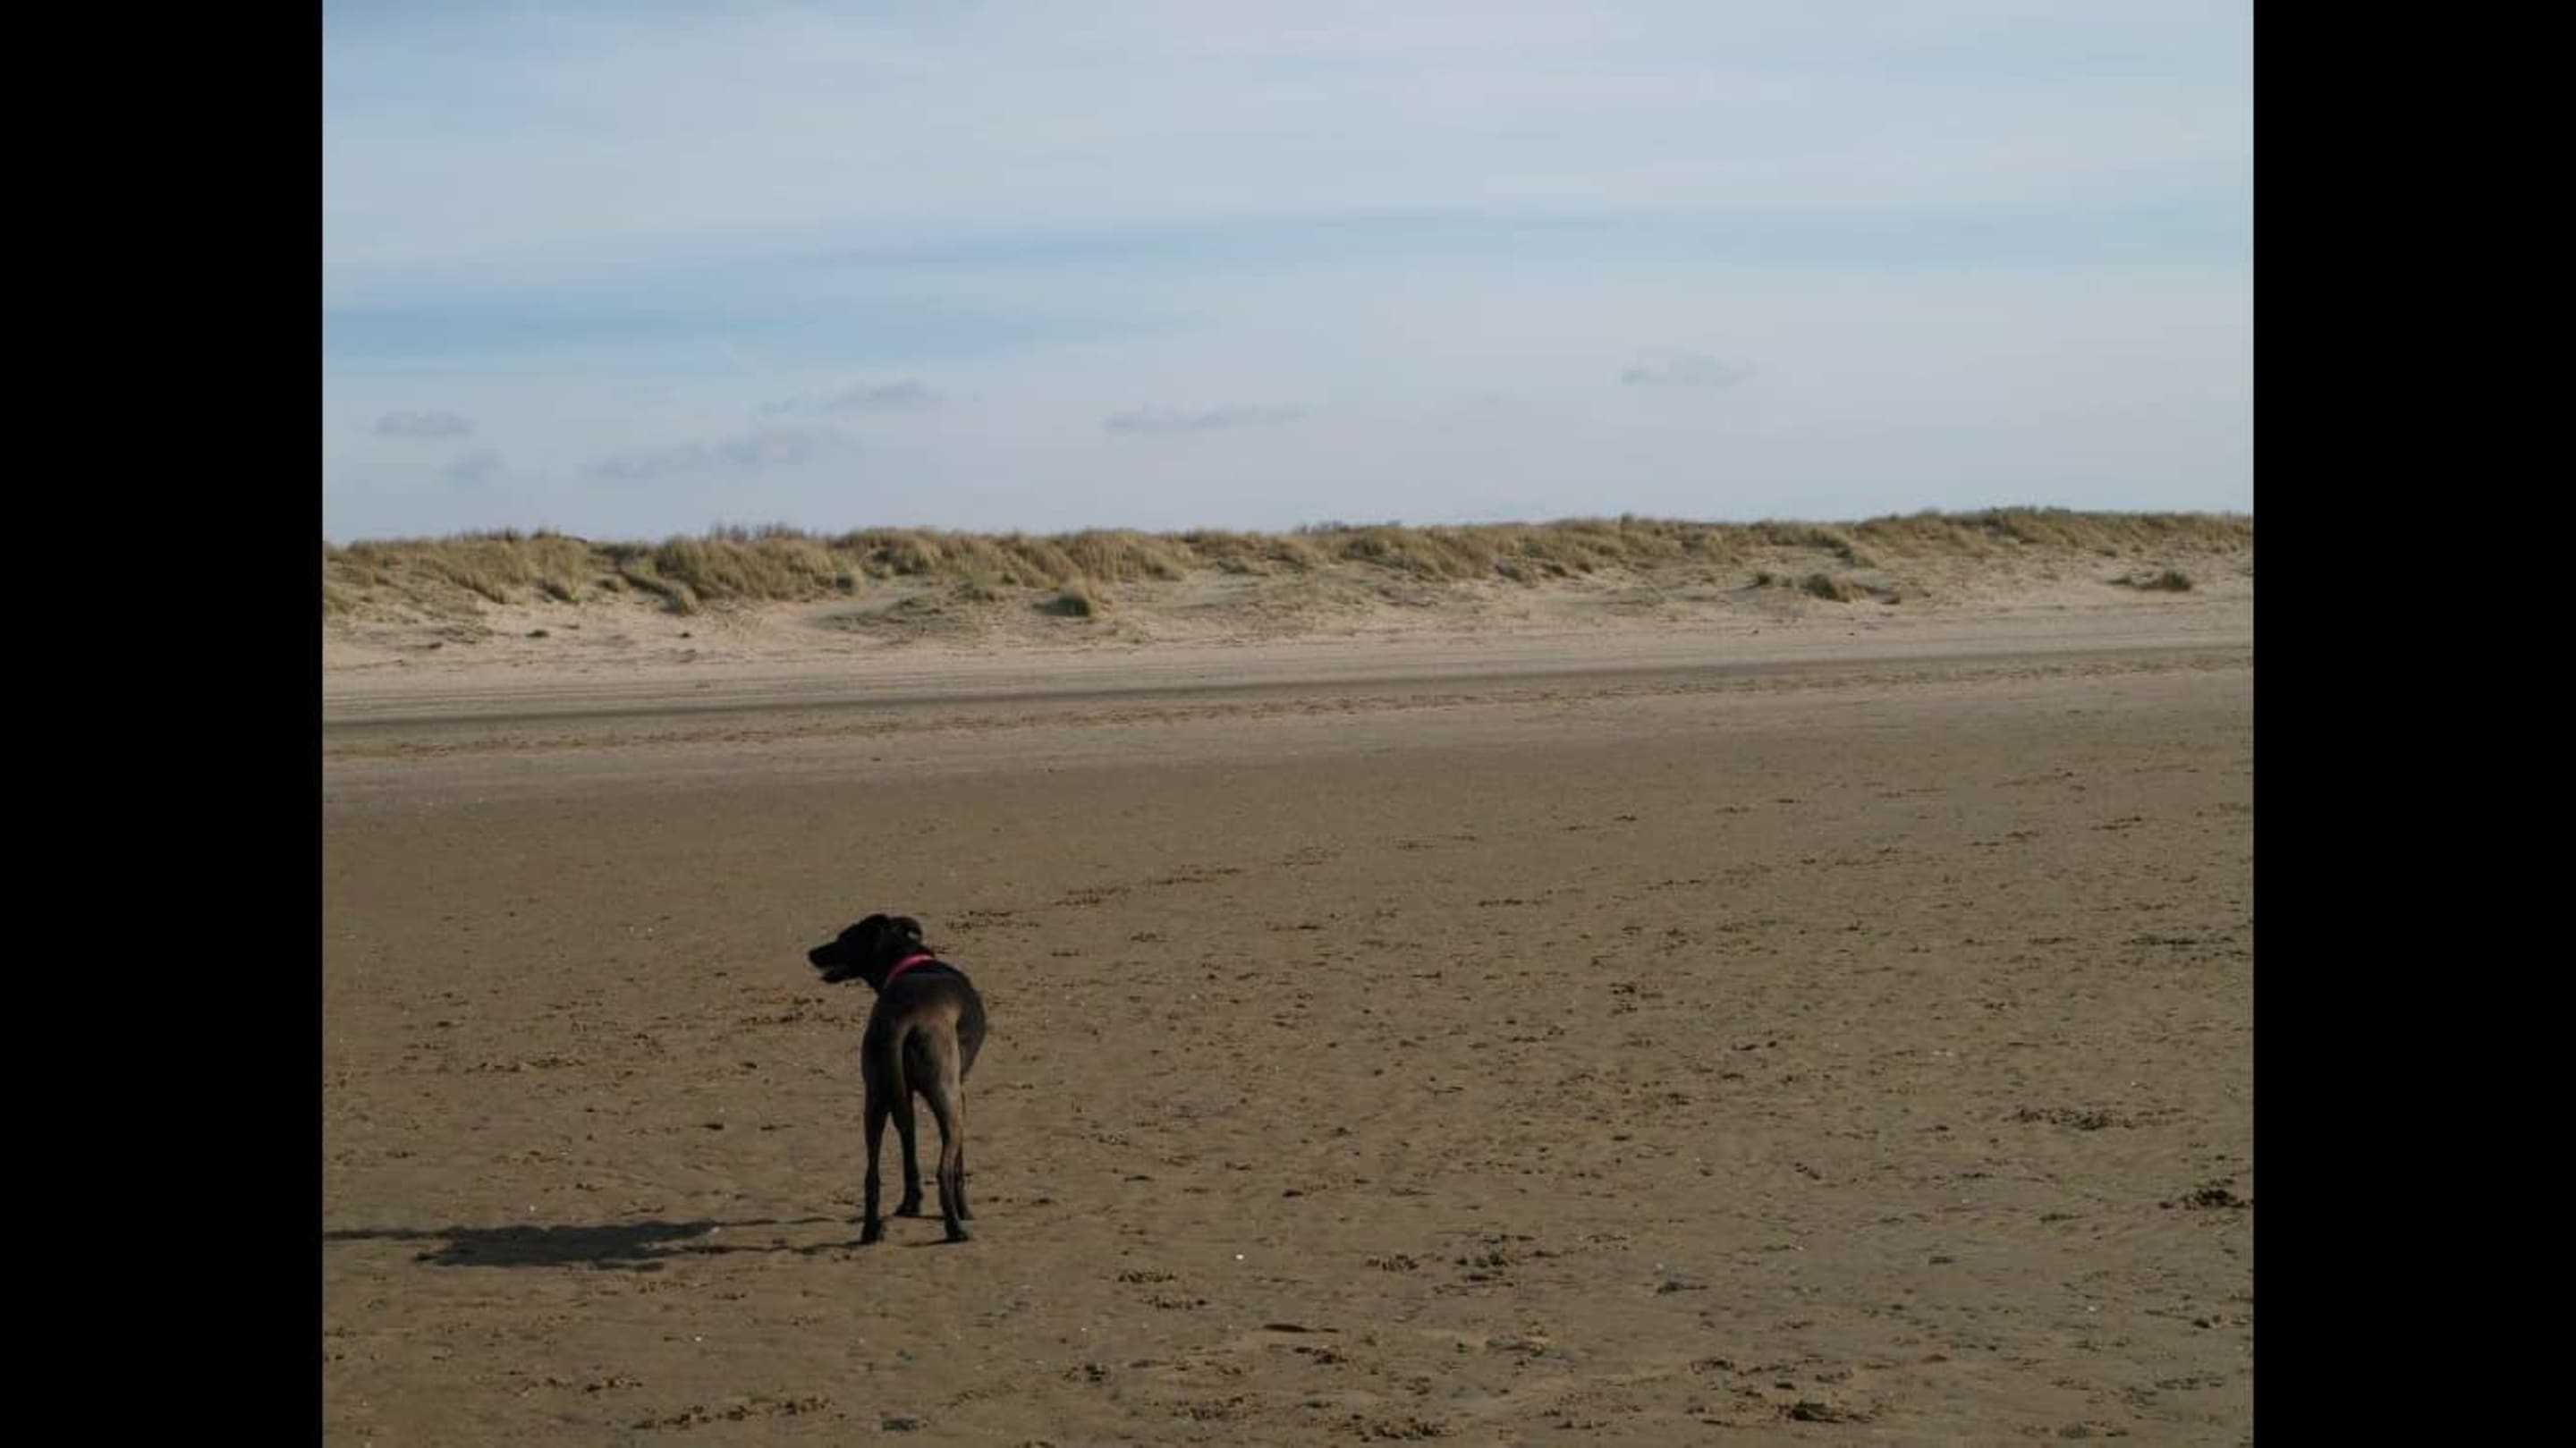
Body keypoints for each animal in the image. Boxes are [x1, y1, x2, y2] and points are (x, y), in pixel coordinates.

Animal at [807, 913, 988, 1244]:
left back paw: (871, 1230)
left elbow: (909, 1144)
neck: (909, 961)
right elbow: (958, 1163)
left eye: (843, 938)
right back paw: (955, 1227)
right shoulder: (961, 1092)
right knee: (943, 1170)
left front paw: (910, 1204)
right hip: (946, 1096)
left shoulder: (903, 1096)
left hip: (876, 1097)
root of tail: (902, 1018)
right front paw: (965, 1209)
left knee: (872, 1173)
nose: (811, 953)